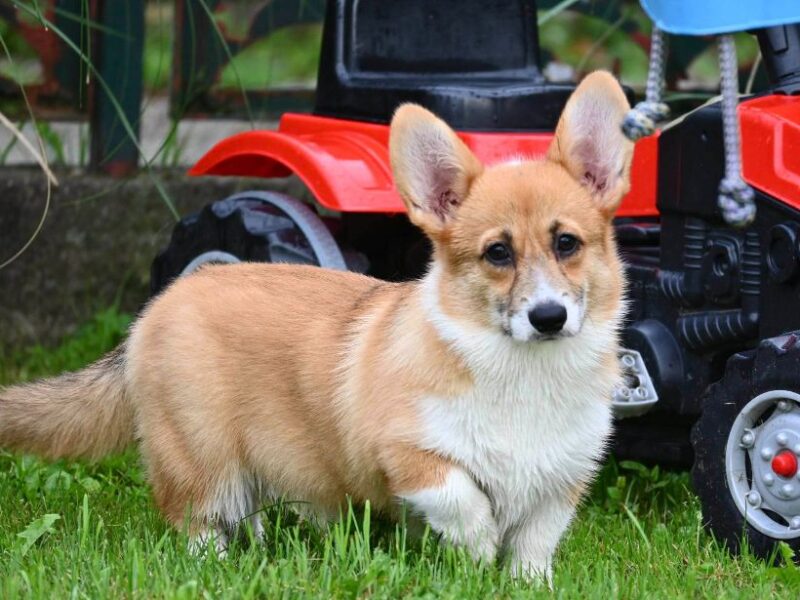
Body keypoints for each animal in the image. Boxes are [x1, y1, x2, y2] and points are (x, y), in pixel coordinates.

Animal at [3, 71, 636, 580]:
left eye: (567, 243)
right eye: (497, 253)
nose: (548, 317)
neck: (524, 375)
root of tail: (157, 306)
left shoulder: (560, 482)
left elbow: (534, 546)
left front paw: (526, 584)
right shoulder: (408, 455)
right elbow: (463, 499)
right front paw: (475, 552)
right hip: (201, 455)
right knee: (200, 522)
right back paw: (217, 569)